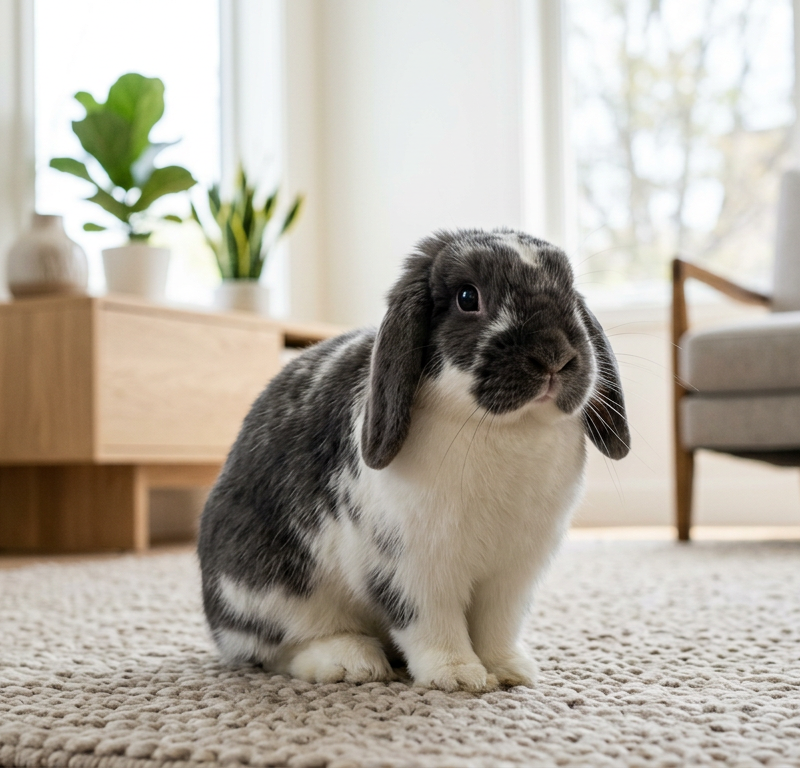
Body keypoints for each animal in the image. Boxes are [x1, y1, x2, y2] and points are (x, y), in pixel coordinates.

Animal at [198, 228, 630, 692]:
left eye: (569, 290)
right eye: (467, 297)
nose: (554, 357)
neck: (505, 428)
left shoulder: (512, 574)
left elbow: (497, 626)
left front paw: (510, 671)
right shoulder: (415, 568)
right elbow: (431, 624)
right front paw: (458, 677)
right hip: (267, 590)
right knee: (275, 648)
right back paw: (351, 662)